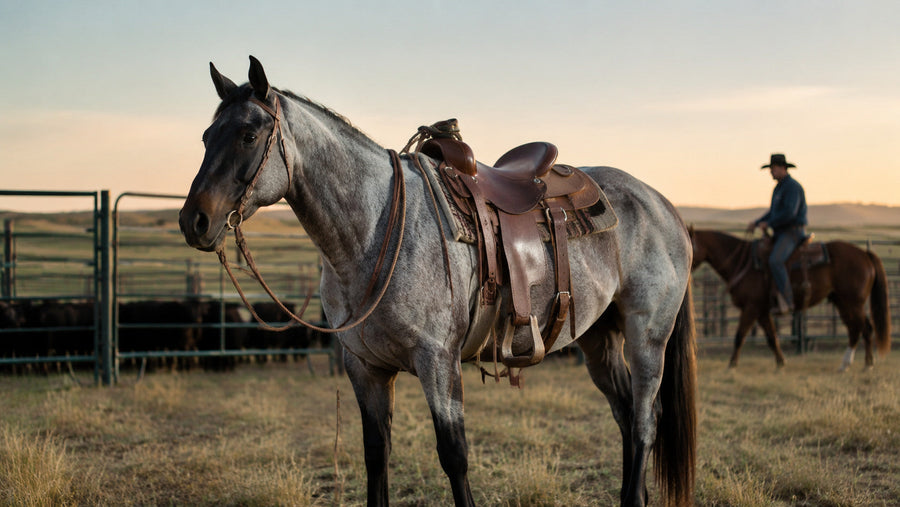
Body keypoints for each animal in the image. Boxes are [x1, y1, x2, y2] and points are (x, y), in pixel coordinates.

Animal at [179, 56, 697, 507]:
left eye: (249, 135)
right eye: (205, 136)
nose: (194, 221)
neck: (374, 230)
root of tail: (662, 203)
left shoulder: (438, 362)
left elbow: (455, 457)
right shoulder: (364, 367)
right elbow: (376, 456)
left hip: (647, 336)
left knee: (645, 420)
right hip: (598, 338)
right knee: (625, 413)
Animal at [689, 228, 891, 371]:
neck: (743, 262)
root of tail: (865, 254)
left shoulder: (751, 307)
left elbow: (740, 336)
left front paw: (731, 366)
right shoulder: (761, 311)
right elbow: (772, 337)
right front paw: (780, 363)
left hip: (852, 303)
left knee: (862, 328)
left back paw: (859, 364)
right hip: (843, 302)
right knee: (859, 329)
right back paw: (855, 364)